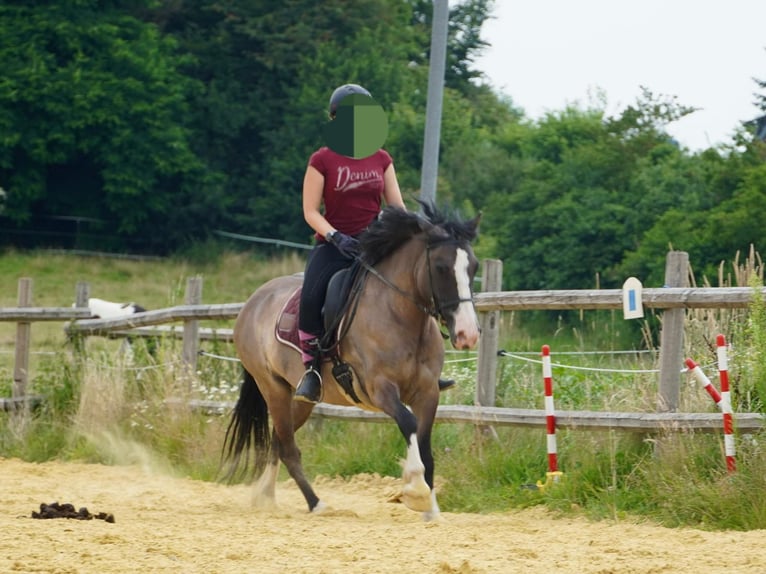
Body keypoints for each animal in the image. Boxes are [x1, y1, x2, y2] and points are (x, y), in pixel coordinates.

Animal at [222, 205, 484, 524]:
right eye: (441, 267)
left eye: (474, 267)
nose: (468, 335)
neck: (400, 317)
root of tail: (254, 300)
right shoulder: (380, 389)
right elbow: (408, 424)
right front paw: (415, 490)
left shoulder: (428, 392)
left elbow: (424, 444)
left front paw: (431, 509)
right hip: (273, 389)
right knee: (288, 447)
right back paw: (316, 504)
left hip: (300, 399)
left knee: (279, 441)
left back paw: (265, 497)